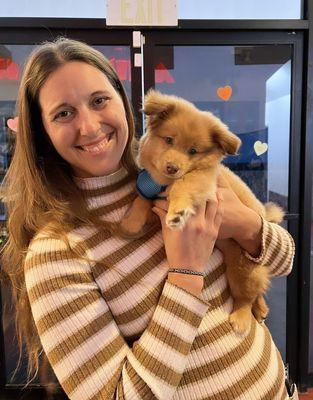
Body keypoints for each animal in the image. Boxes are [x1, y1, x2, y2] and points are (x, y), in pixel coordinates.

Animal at [120, 90, 282, 334]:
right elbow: (142, 200)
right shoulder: (152, 192)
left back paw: (242, 318)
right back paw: (261, 309)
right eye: (169, 140)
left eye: (193, 151)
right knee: (259, 291)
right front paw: (131, 221)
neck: (163, 182)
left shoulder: (202, 181)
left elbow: (183, 186)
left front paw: (177, 212)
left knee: (246, 297)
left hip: (242, 271)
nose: (172, 168)